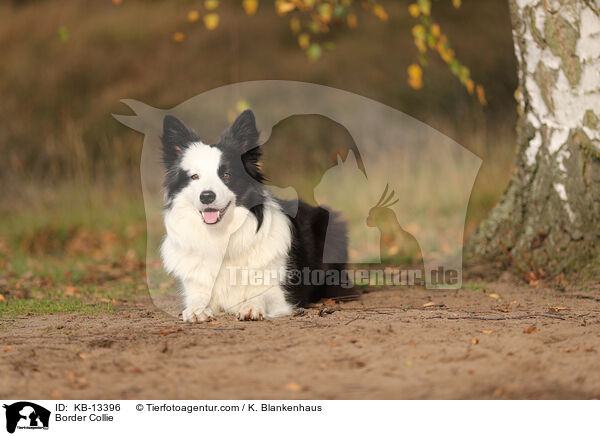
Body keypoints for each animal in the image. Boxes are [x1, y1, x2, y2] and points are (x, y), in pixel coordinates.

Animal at [159, 109, 350, 320]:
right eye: (194, 177)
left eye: (227, 175)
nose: (207, 196)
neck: (222, 235)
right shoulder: (196, 287)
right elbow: (198, 299)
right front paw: (196, 310)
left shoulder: (280, 293)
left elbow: (260, 295)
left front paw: (251, 305)